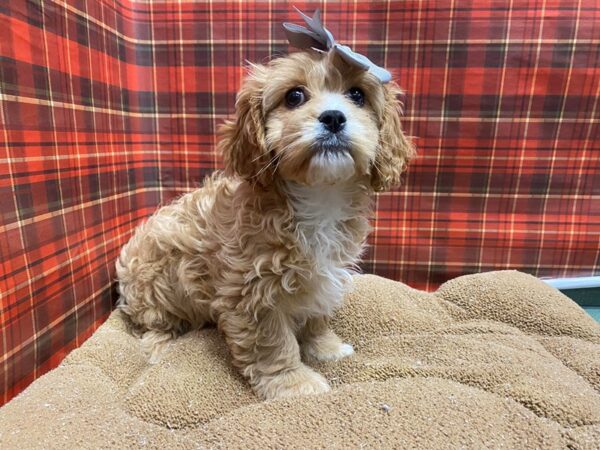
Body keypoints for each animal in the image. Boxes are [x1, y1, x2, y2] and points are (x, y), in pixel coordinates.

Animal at [118, 51, 418, 400]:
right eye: (294, 96)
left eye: (357, 95)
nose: (333, 117)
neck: (319, 197)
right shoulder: (252, 293)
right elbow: (273, 343)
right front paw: (294, 382)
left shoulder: (324, 276)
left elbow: (317, 315)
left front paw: (326, 347)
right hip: (154, 285)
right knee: (153, 325)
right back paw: (160, 347)